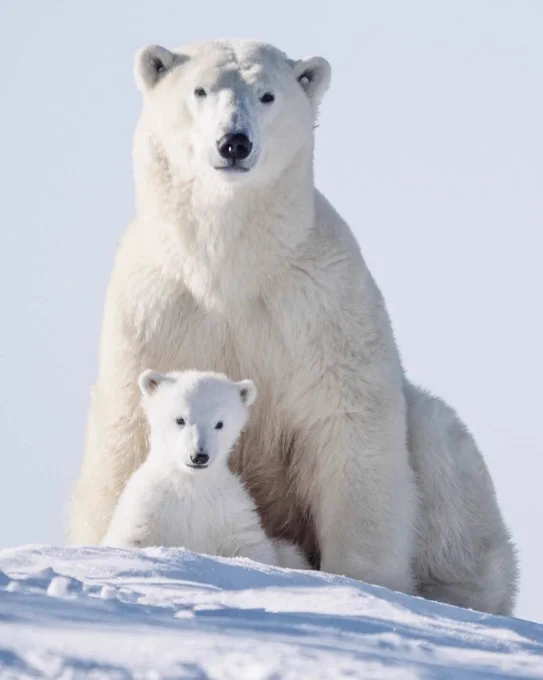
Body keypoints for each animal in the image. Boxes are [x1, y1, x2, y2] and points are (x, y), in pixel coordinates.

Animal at [102, 369, 309, 570]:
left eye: (219, 423)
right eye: (180, 419)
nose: (199, 456)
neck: (191, 483)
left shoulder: (230, 515)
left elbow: (254, 550)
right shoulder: (148, 506)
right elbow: (130, 540)